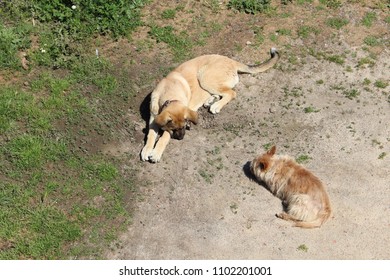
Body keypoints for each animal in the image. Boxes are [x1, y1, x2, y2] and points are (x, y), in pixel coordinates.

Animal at [142, 48, 278, 162]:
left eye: (183, 126)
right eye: (175, 129)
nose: (181, 138)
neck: (169, 93)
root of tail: (231, 61)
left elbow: (164, 137)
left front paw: (156, 153)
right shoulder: (153, 118)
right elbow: (150, 135)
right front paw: (146, 150)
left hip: (204, 77)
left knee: (231, 93)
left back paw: (216, 105)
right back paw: (210, 100)